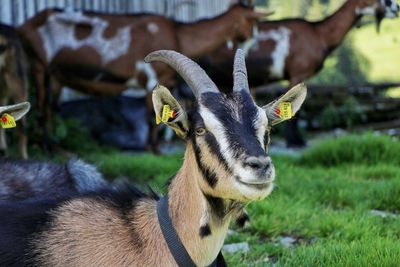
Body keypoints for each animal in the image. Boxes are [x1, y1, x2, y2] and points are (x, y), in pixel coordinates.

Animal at [17, 3, 264, 153]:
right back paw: (45, 147)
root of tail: (25, 25)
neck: (179, 34)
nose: (254, 45)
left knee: (50, 107)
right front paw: (153, 150)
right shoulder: (151, 76)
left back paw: (54, 146)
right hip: (38, 65)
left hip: (56, 75)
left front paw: (154, 148)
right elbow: (150, 116)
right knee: (41, 107)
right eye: (252, 23)